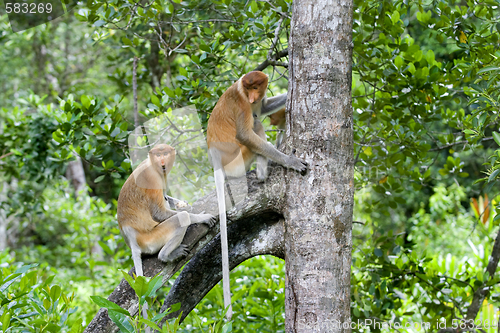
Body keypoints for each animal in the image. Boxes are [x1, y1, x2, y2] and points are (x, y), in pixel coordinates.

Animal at [205, 70, 306, 320]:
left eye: (256, 88)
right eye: (248, 89)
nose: (252, 98)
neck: (242, 89)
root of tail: (217, 165)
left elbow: (265, 106)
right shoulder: (241, 105)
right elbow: (245, 133)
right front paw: (290, 161)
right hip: (238, 160)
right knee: (256, 126)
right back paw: (262, 172)